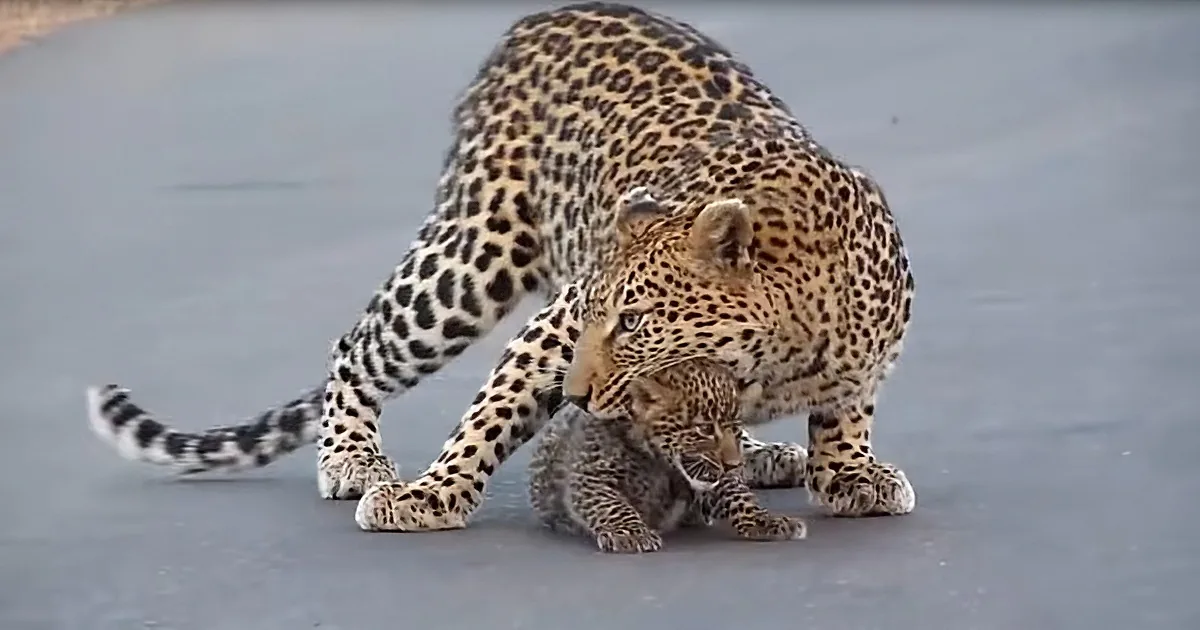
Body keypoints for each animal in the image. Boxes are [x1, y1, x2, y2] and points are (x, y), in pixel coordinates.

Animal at [85, 2, 917, 533]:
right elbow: (488, 417)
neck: (786, 348)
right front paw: (429, 498)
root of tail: (545, 18)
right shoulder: (553, 331)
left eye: (636, 322)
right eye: (601, 319)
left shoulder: (865, 354)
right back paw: (353, 458)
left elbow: (847, 410)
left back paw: (764, 453)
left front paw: (848, 473)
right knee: (357, 345)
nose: (578, 395)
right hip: (472, 254)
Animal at [529, 357, 807, 553]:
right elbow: (612, 505)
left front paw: (765, 522)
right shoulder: (590, 475)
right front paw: (632, 533)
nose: (733, 464)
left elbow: (738, 496)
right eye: (705, 429)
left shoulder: (717, 479)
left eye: (736, 428)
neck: (658, 462)